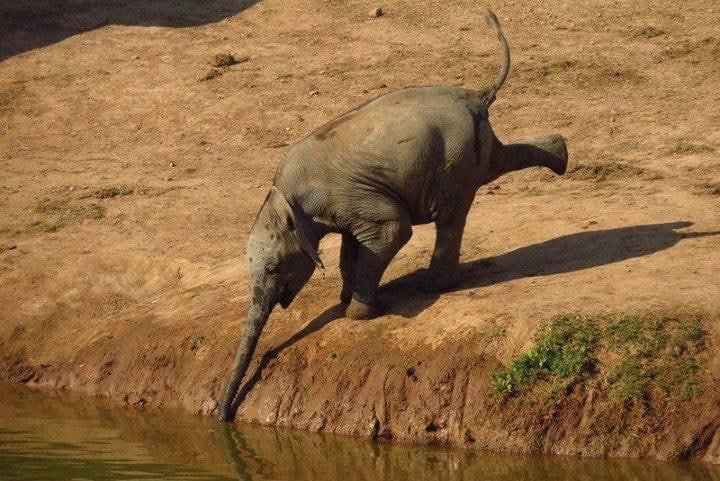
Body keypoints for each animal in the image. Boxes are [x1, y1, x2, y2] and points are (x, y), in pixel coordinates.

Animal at [217, 8, 564, 420]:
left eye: (272, 269)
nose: (224, 415)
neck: (280, 197)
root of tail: (475, 95)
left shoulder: (350, 196)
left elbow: (391, 232)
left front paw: (356, 314)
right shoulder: (348, 202)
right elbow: (352, 247)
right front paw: (347, 298)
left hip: (452, 157)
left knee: (450, 214)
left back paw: (433, 287)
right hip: (469, 149)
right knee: (496, 164)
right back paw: (562, 157)